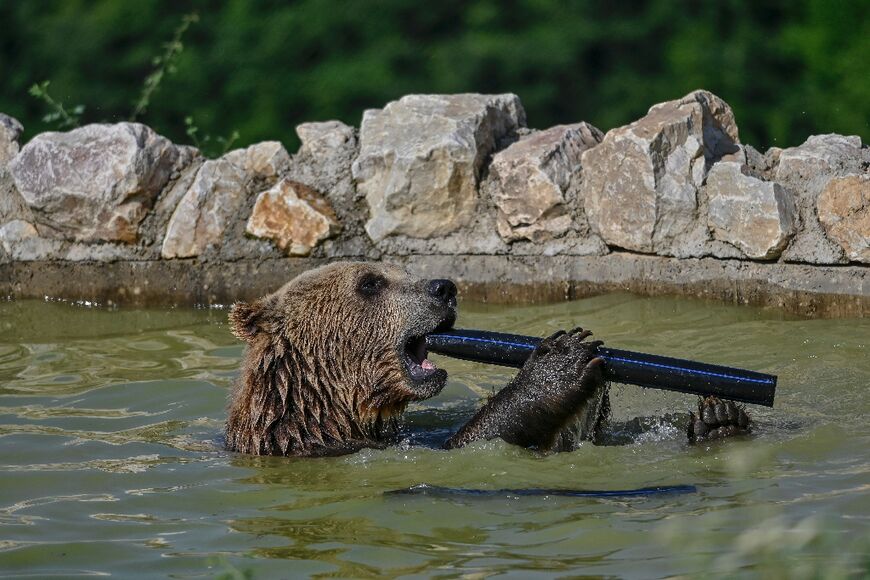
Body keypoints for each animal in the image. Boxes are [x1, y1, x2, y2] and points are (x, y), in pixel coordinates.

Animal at [225, 261, 749, 456]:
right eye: (371, 282)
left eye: (398, 269)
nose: (443, 287)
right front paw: (561, 358)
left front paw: (717, 415)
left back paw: (719, 418)